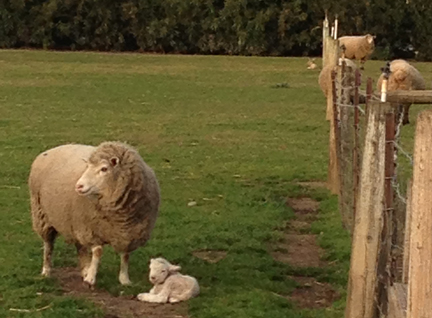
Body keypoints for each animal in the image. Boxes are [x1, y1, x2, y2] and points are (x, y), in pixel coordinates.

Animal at [28, 142, 160, 286]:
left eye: (104, 169)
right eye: (87, 167)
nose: (79, 186)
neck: (119, 216)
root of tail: (53, 148)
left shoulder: (128, 233)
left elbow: (125, 254)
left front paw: (124, 279)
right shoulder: (92, 228)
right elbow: (97, 252)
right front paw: (91, 278)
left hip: (75, 221)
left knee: (80, 246)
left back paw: (84, 269)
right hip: (42, 214)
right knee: (48, 245)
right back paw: (46, 270)